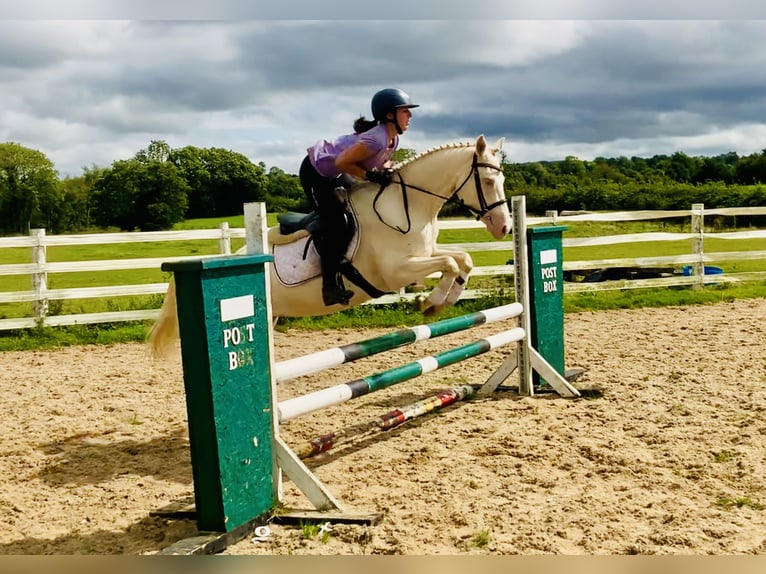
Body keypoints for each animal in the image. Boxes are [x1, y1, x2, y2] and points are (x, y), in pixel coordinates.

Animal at [148, 136, 510, 360]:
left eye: (503, 180)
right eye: (488, 182)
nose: (504, 227)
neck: (405, 204)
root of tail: (227, 258)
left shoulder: (422, 254)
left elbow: (463, 259)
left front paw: (443, 300)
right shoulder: (395, 271)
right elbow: (450, 263)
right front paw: (431, 303)